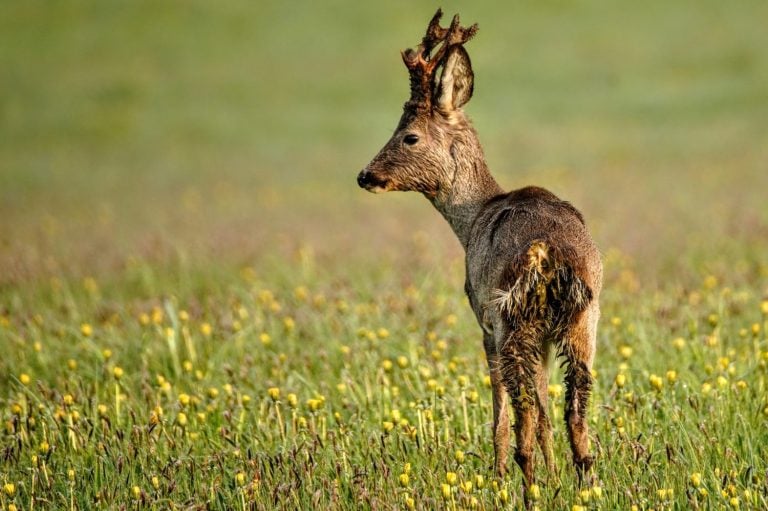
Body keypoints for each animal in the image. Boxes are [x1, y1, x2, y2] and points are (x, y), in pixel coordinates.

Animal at [356, 9, 603, 501]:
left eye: (408, 136)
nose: (365, 175)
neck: (471, 218)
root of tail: (546, 252)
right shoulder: (546, 336)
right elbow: (546, 409)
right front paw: (553, 475)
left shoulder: (483, 318)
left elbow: (505, 412)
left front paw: (503, 473)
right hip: (584, 318)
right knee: (573, 406)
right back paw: (584, 484)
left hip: (510, 317)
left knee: (521, 408)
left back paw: (524, 484)